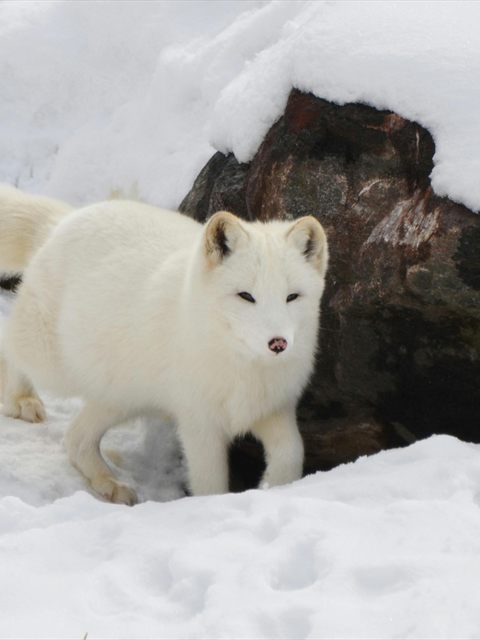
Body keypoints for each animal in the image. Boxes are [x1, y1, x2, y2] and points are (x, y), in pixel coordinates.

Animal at [0, 189, 328, 505]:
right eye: (246, 296)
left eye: (292, 297)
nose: (278, 343)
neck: (243, 368)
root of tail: (62, 222)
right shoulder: (199, 423)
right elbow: (210, 484)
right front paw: (214, 505)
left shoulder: (274, 409)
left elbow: (291, 454)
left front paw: (276, 488)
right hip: (52, 363)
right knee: (7, 344)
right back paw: (22, 400)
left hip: (121, 395)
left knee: (75, 439)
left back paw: (112, 484)